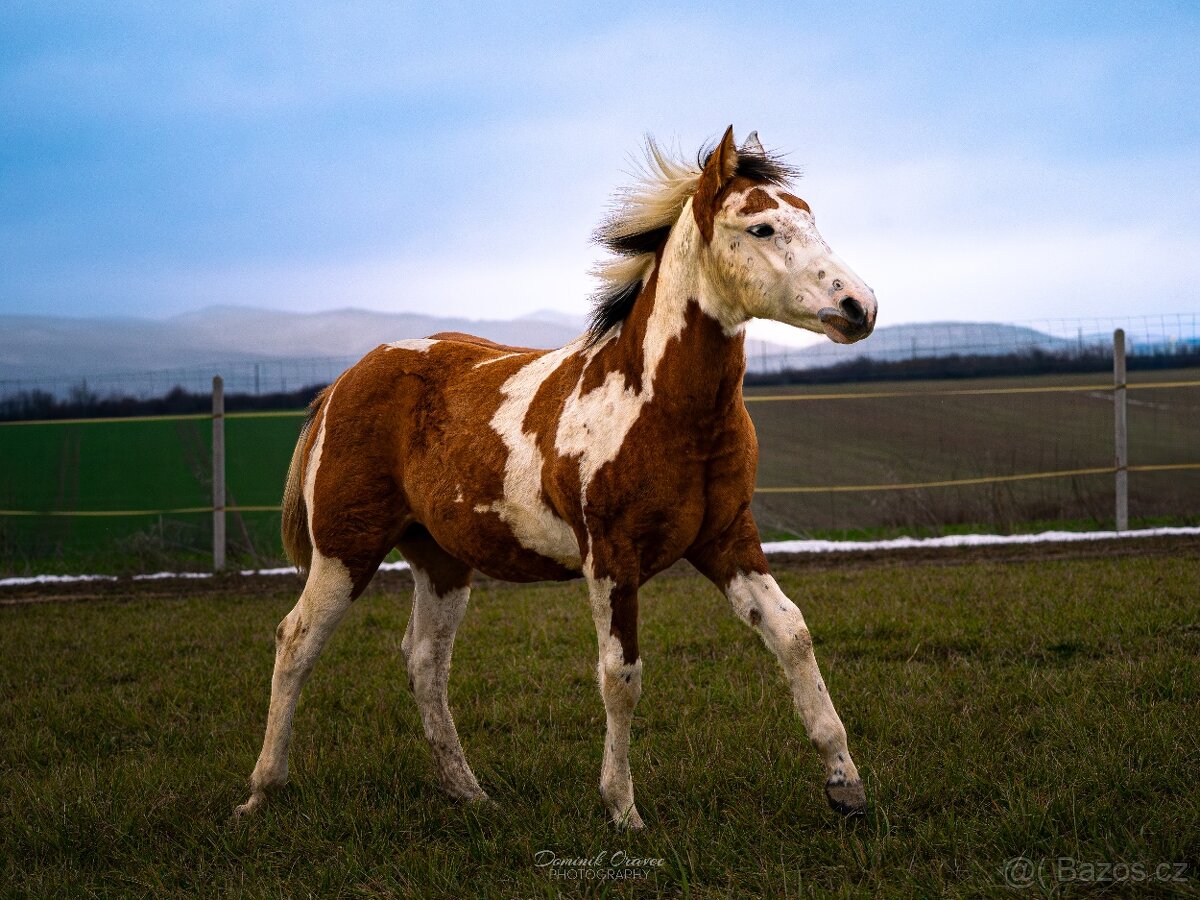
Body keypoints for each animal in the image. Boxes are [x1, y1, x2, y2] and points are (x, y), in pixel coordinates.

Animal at [234, 127, 878, 828]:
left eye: (810, 215)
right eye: (761, 226)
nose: (859, 306)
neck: (655, 401)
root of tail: (343, 382)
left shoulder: (727, 539)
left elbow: (792, 635)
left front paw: (846, 786)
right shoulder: (611, 558)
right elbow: (621, 676)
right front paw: (623, 810)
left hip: (440, 559)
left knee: (425, 661)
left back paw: (468, 791)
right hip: (345, 548)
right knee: (296, 640)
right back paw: (261, 793)